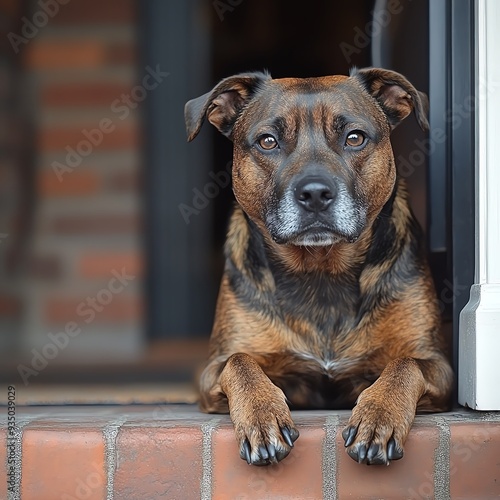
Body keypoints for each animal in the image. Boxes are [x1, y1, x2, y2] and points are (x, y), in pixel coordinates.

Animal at [184, 66, 454, 464]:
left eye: (354, 138)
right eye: (267, 141)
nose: (314, 194)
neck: (321, 270)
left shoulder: (436, 362)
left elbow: (404, 364)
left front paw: (378, 416)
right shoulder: (215, 369)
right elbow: (241, 362)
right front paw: (262, 416)